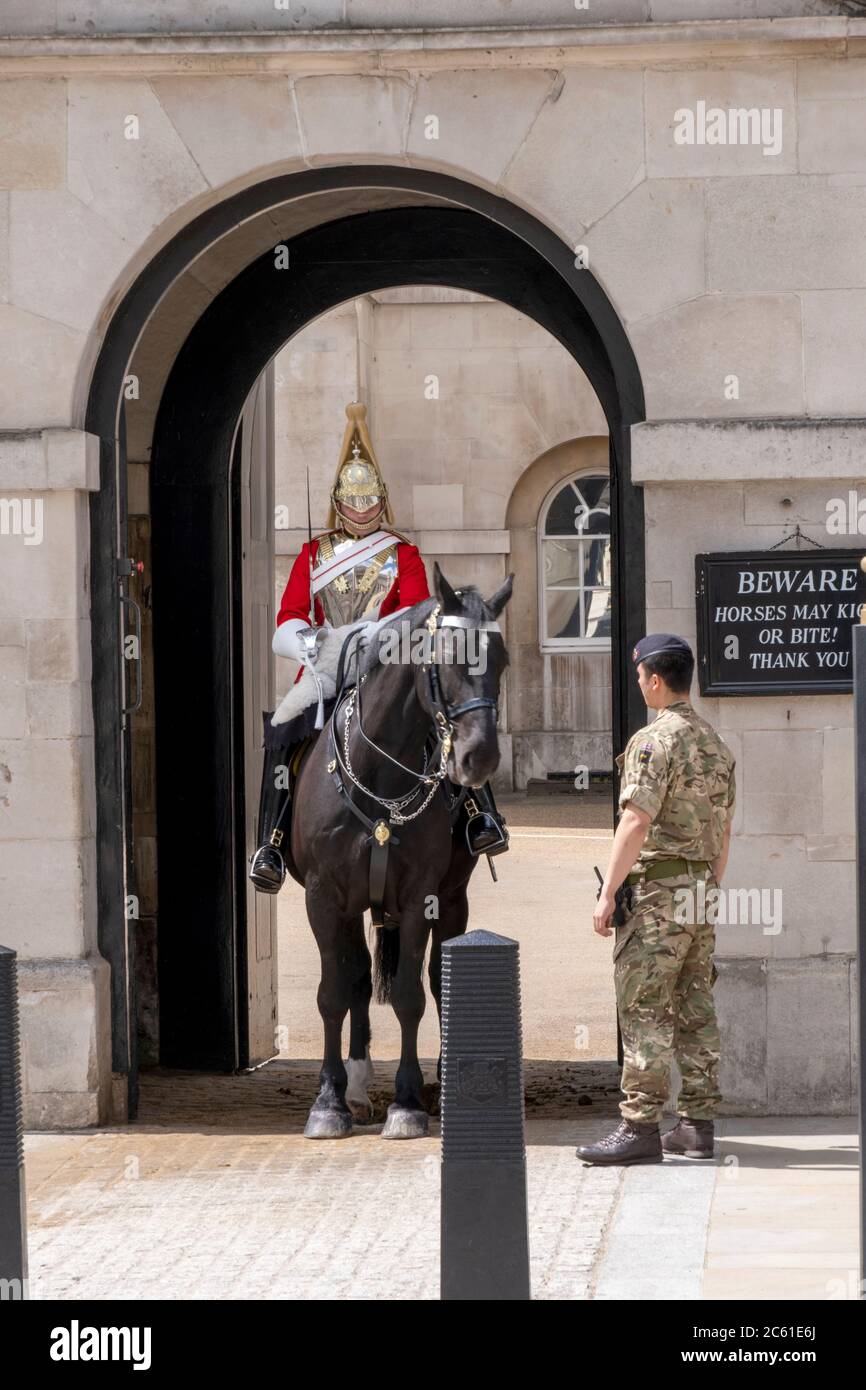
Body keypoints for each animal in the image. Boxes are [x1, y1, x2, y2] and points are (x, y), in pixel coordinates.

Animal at [287, 564, 511, 1139]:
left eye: (500, 660)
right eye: (448, 657)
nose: (479, 757)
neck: (378, 775)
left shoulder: (418, 897)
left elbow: (412, 994)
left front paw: (408, 1103)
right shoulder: (323, 898)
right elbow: (333, 993)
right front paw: (329, 1101)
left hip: (451, 899)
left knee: (436, 976)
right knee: (357, 980)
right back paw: (357, 1084)